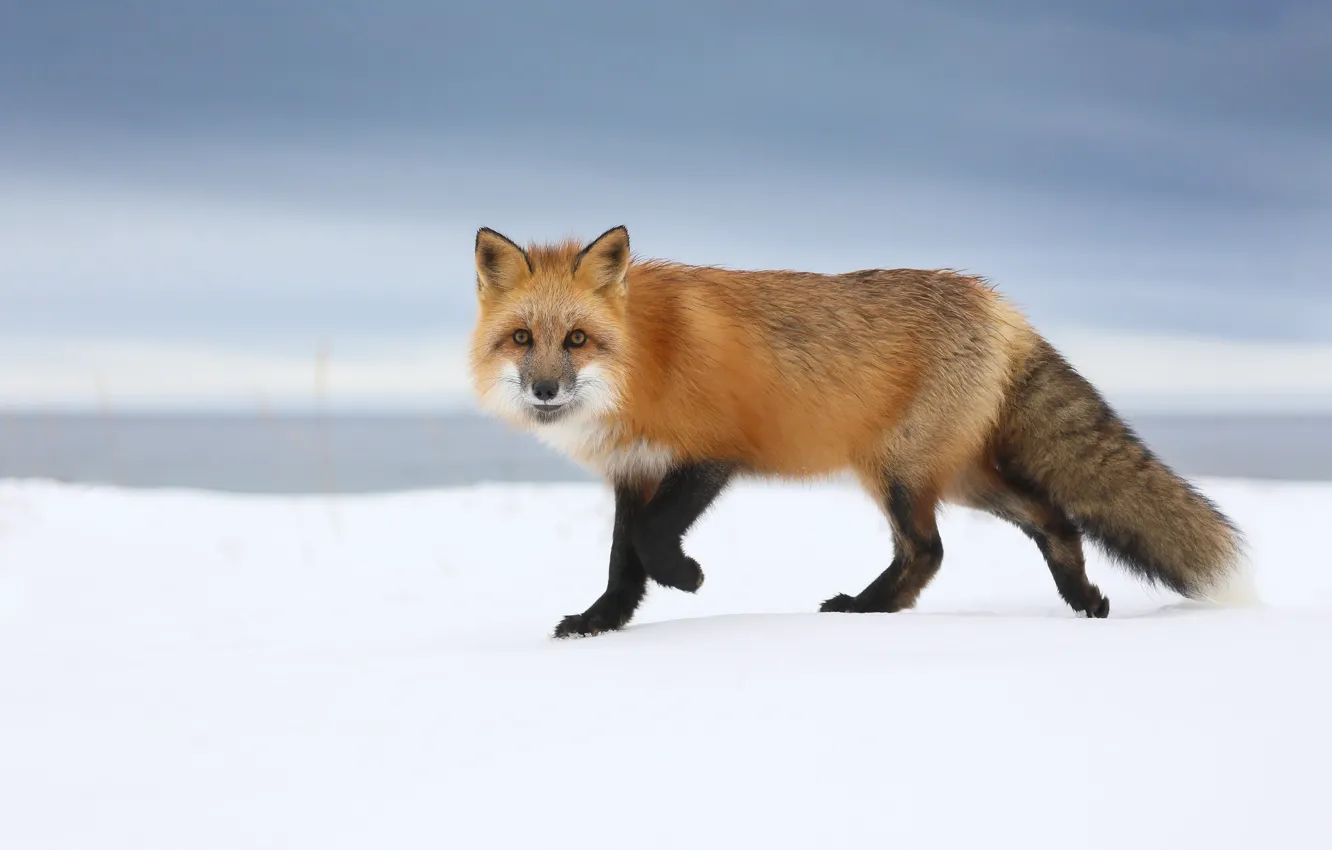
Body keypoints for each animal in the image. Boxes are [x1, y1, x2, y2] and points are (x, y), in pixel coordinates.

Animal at [467, 224, 1252, 638]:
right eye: (521, 339)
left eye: (576, 339)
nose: (543, 390)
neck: (646, 357)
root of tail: (1001, 306)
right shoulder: (635, 470)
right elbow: (623, 562)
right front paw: (600, 622)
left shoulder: (712, 452)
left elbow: (654, 544)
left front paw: (686, 578)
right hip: (957, 476)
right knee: (1050, 519)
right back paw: (1081, 600)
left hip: (899, 472)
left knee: (928, 550)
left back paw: (865, 609)